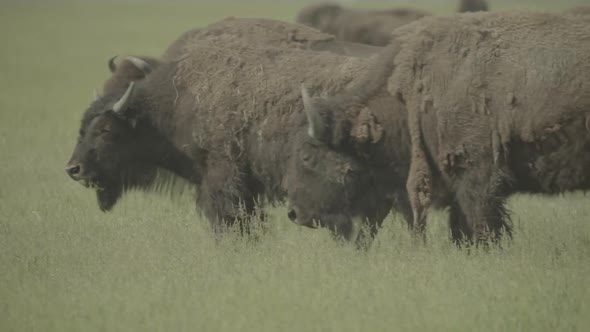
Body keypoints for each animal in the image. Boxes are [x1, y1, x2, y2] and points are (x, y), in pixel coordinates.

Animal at [286, 11, 590, 245]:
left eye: (307, 156)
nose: (294, 213)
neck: (410, 91)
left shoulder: (476, 173)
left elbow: (481, 222)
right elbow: (460, 227)